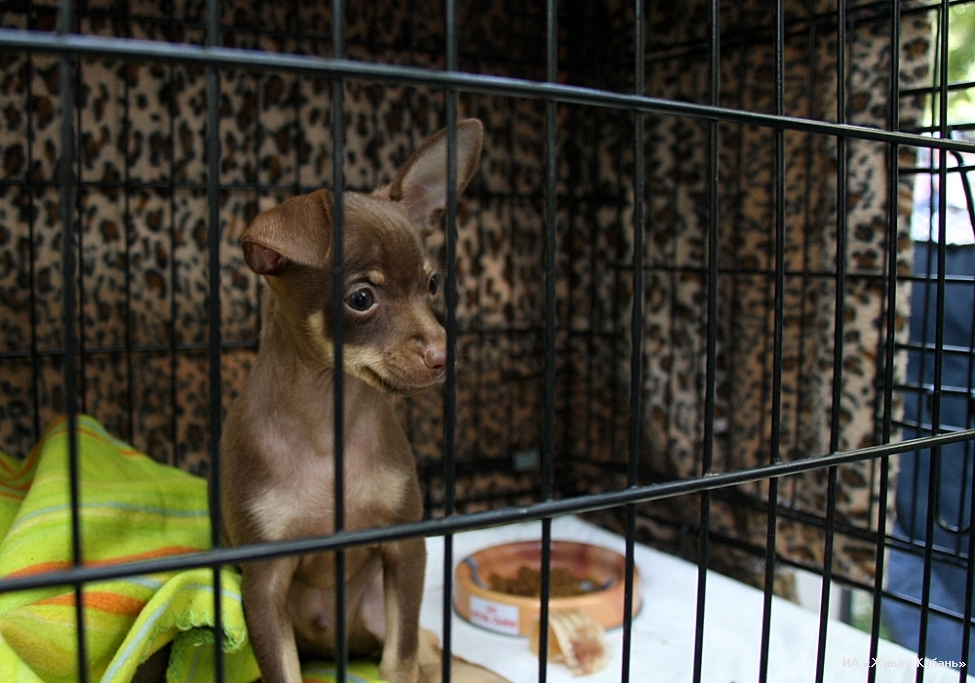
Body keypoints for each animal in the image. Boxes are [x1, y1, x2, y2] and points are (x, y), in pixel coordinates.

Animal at [219, 119, 482, 683]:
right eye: (361, 299)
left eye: (431, 284)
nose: (443, 355)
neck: (328, 418)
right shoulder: (264, 581)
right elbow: (284, 672)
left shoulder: (405, 548)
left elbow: (399, 659)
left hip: (379, 614)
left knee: (428, 649)